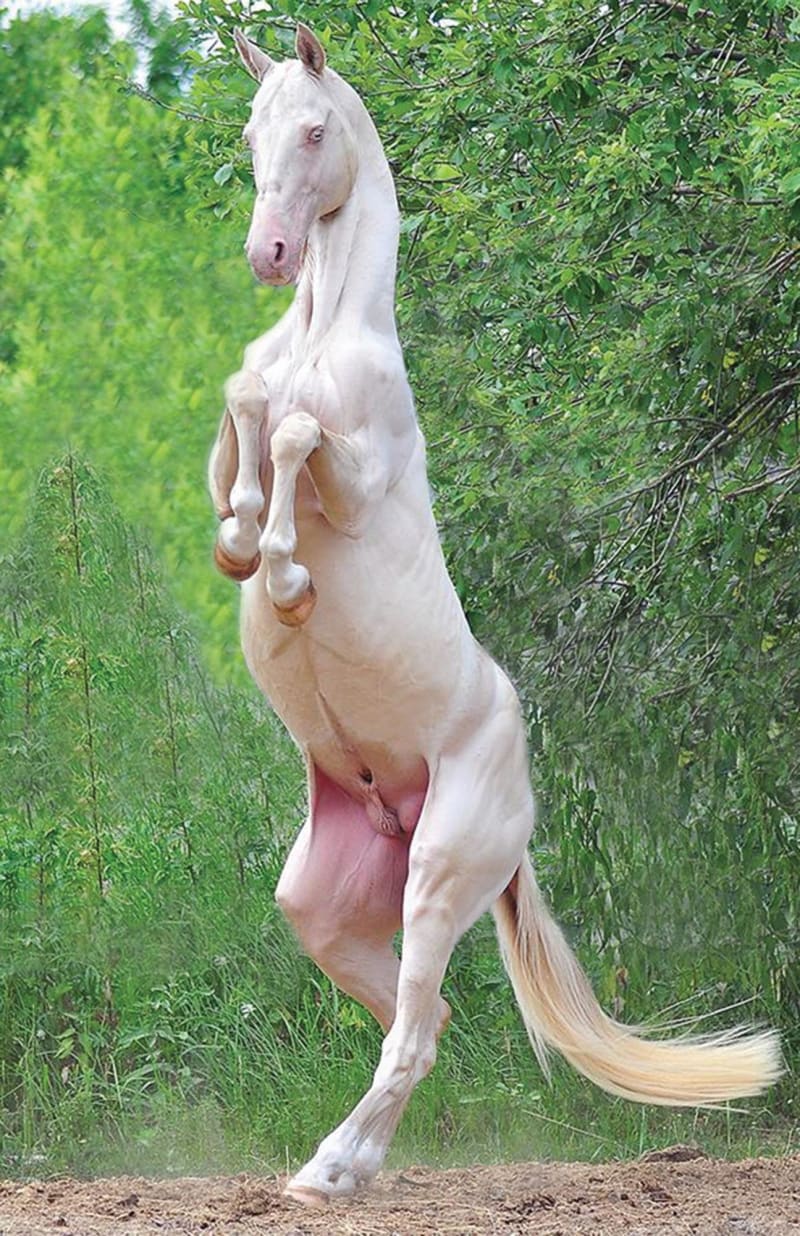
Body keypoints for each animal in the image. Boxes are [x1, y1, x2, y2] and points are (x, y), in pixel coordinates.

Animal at [208, 23, 781, 1205]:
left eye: (315, 130)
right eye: (250, 130)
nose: (271, 256)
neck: (324, 336)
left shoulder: (354, 474)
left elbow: (292, 433)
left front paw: (283, 577)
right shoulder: (231, 428)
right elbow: (248, 404)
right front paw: (241, 541)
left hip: (439, 875)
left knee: (413, 1028)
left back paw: (326, 1173)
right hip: (325, 906)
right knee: (423, 1022)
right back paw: (349, 1164)